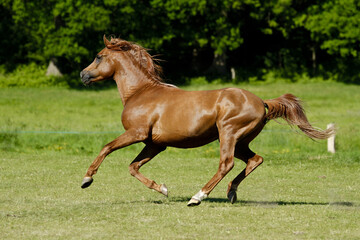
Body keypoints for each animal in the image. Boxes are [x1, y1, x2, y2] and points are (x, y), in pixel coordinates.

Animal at [79, 35, 334, 206]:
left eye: (99, 56)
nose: (82, 75)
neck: (141, 93)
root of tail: (262, 101)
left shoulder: (137, 133)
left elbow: (106, 148)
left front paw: (86, 179)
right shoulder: (155, 144)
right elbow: (133, 167)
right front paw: (163, 189)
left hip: (228, 134)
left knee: (226, 164)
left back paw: (198, 196)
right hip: (240, 141)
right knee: (255, 160)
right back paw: (231, 193)